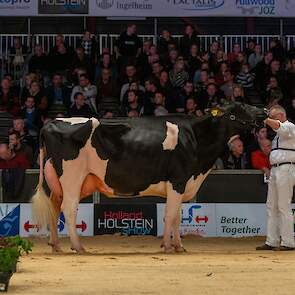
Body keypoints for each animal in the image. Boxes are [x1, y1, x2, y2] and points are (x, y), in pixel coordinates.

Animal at [33, 103, 268, 253]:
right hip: (72, 177)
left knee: (54, 206)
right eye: (240, 106)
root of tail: (51, 123)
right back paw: (78, 246)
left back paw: (56, 245)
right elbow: (171, 215)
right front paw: (168, 246)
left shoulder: (182, 184)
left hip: (57, 180)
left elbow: (177, 215)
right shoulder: (178, 179)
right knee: (69, 208)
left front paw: (178, 246)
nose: (265, 110)